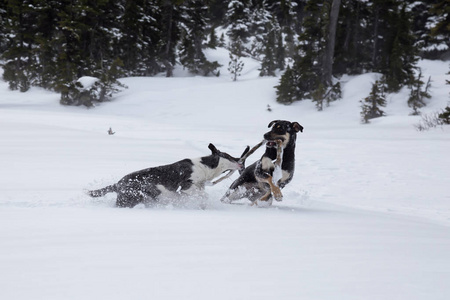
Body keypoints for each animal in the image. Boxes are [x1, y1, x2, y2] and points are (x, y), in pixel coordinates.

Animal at [88, 144, 243, 207]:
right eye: (229, 156)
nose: (241, 162)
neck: (204, 166)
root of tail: (118, 184)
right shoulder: (186, 187)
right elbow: (202, 195)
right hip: (129, 199)